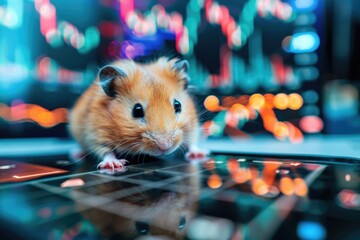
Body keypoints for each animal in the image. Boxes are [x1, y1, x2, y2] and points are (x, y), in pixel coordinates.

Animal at [69, 57, 208, 170]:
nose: (165, 147)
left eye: (178, 105)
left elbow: (192, 142)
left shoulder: (192, 125)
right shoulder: (96, 133)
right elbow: (106, 151)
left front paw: (200, 154)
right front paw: (115, 164)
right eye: (137, 110)